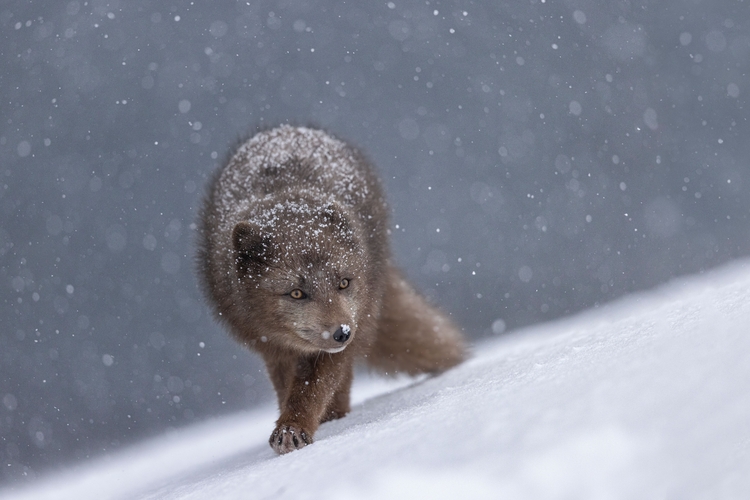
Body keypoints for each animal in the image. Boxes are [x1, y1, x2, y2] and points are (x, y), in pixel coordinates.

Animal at [197, 125, 466, 454]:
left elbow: (313, 388)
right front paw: (291, 424)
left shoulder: (340, 342)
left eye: (343, 283)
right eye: (296, 293)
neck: (286, 196)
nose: (342, 333)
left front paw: (294, 427)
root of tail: (287, 128)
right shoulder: (273, 346)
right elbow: (290, 386)